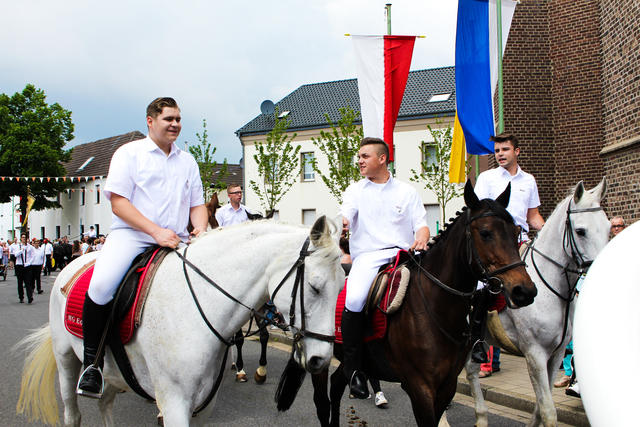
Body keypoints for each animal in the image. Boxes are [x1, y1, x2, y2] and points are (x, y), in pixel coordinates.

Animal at [16, 217, 344, 427]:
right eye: (314, 287)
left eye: (342, 286)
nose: (321, 360)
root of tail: (72, 264)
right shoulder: (175, 404)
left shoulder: (203, 406)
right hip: (65, 359)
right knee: (73, 412)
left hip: (112, 368)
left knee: (105, 402)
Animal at [298, 181, 536, 427]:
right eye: (485, 233)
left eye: (516, 231)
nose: (524, 290)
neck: (435, 309)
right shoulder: (419, 387)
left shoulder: (447, 385)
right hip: (319, 355)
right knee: (322, 401)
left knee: (336, 387)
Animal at [462, 180, 608, 427]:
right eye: (580, 231)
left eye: (608, 228)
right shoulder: (535, 353)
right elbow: (548, 410)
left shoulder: (556, 353)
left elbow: (540, 406)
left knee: (471, 371)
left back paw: (481, 417)